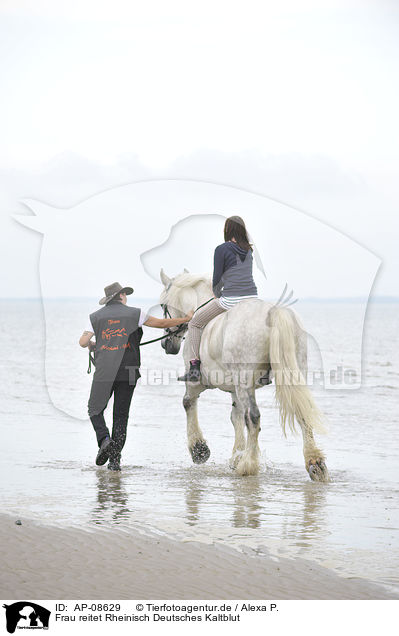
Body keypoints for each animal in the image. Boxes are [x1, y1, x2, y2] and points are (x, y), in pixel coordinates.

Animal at [161, 268, 330, 482]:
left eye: (163, 305)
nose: (166, 345)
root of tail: (273, 312)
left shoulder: (198, 382)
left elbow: (188, 403)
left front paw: (199, 450)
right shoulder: (235, 388)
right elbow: (236, 417)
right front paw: (236, 455)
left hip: (245, 380)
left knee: (254, 417)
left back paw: (248, 465)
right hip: (292, 374)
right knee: (301, 412)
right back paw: (315, 463)